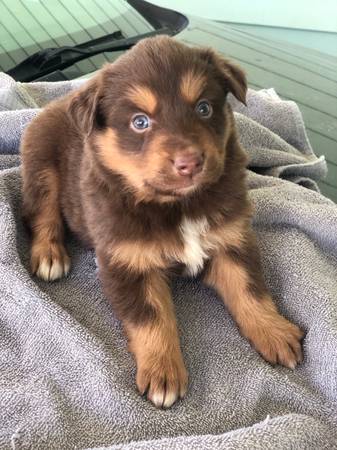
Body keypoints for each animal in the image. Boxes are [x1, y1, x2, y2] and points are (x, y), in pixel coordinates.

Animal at [20, 36, 302, 408]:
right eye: (140, 122)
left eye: (203, 109)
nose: (190, 163)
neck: (178, 205)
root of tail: (57, 104)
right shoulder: (127, 262)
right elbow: (151, 319)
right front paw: (163, 373)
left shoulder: (232, 240)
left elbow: (250, 290)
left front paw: (275, 331)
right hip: (41, 165)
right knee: (43, 215)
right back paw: (50, 255)